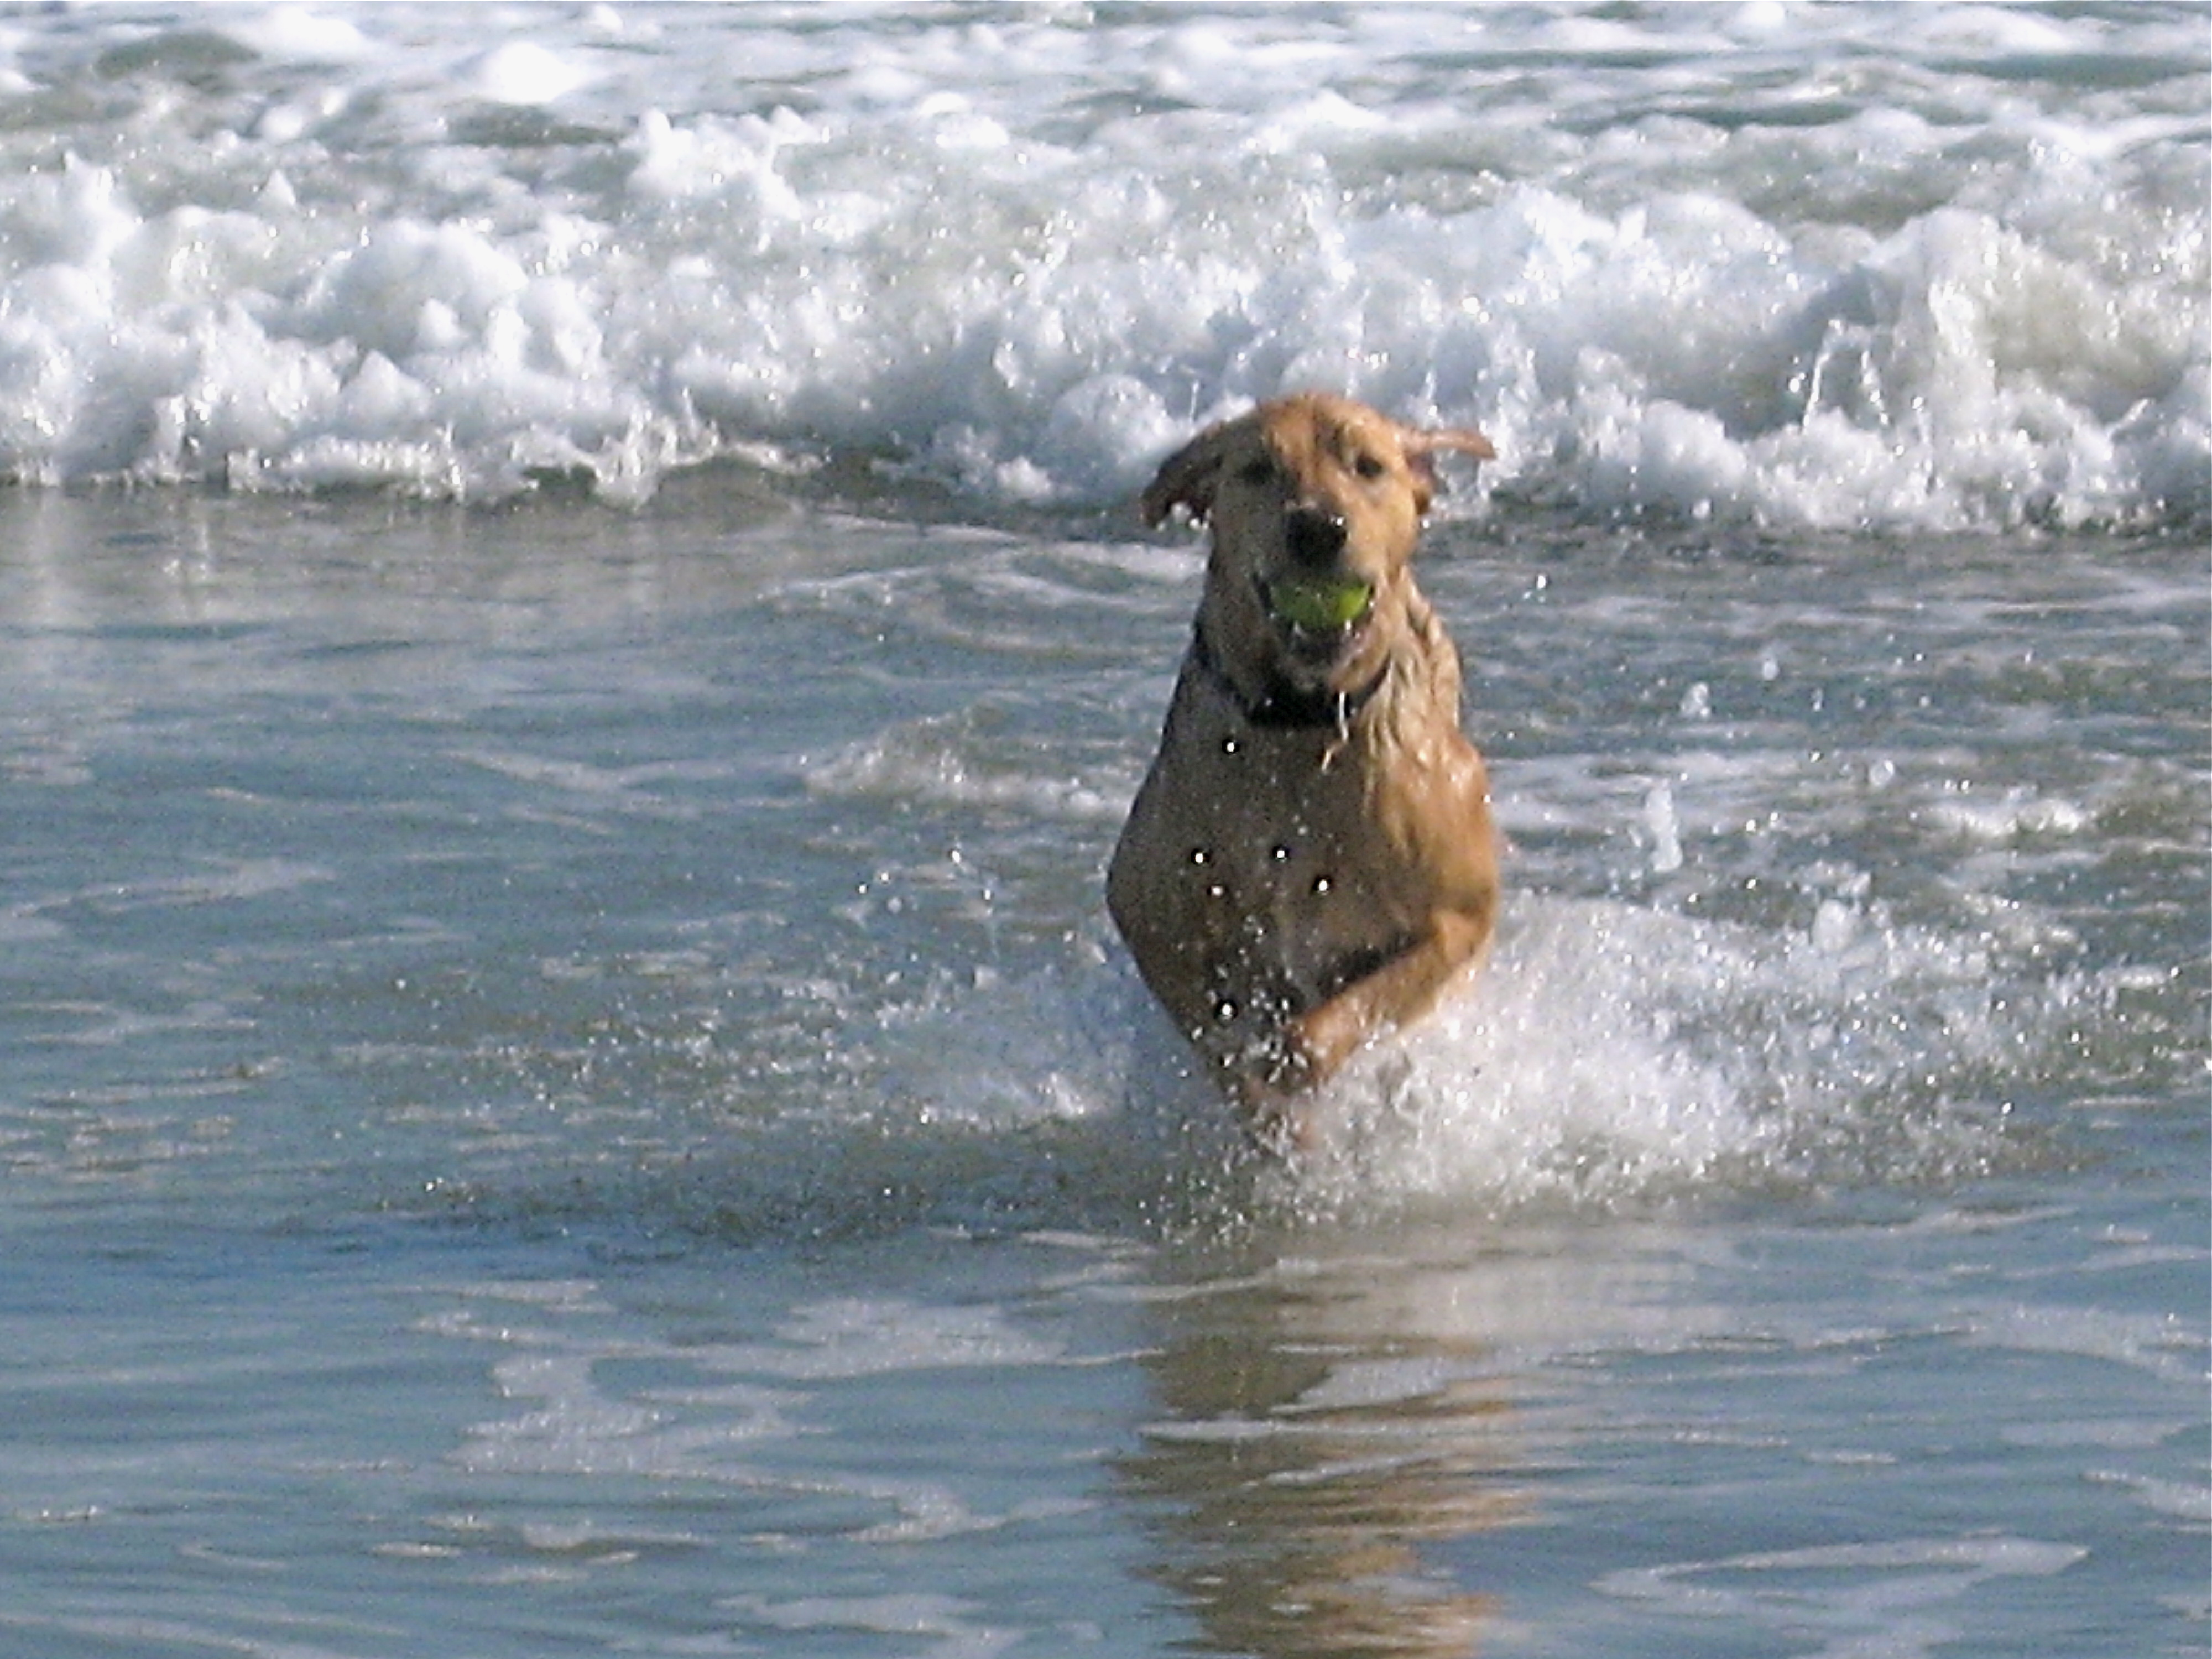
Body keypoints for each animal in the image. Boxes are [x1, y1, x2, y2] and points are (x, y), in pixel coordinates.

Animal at [1115, 394, 1495, 1150]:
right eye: (1258, 469)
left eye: (1368, 466)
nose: (1318, 528)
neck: (1300, 720)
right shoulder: (1146, 913)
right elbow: (1210, 1026)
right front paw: (1266, 1103)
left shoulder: (1462, 917)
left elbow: (1364, 1001)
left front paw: (1296, 1062)